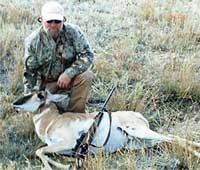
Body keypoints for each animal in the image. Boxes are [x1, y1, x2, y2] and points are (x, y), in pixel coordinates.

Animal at [13, 89, 200, 169]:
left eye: (39, 94)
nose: (15, 104)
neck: (52, 120)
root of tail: (138, 115)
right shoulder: (64, 149)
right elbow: (42, 152)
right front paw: (63, 166)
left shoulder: (67, 143)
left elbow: (40, 151)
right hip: (140, 142)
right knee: (170, 138)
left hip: (138, 131)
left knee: (173, 138)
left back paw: (196, 153)